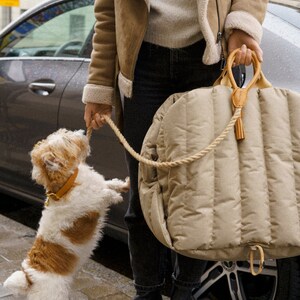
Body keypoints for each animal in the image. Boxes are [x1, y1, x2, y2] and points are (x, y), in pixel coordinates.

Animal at [3, 128, 129, 300]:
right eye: (67, 140)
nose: (83, 131)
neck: (68, 183)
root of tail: (29, 278)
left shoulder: (98, 184)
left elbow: (109, 183)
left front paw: (125, 184)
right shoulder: (92, 200)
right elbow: (103, 194)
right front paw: (116, 196)